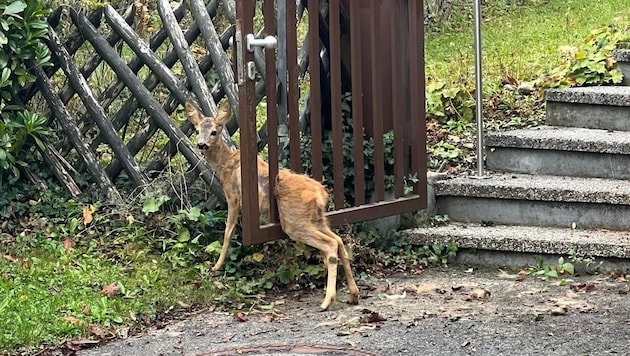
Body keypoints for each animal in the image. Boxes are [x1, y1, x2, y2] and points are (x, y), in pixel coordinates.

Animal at [185, 100, 358, 308]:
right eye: (196, 130)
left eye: (214, 131)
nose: (201, 144)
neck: (225, 163)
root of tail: (320, 193)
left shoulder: (233, 197)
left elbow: (228, 232)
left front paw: (216, 266)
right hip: (317, 219)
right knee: (339, 241)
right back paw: (353, 295)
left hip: (294, 221)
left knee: (330, 244)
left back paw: (327, 301)